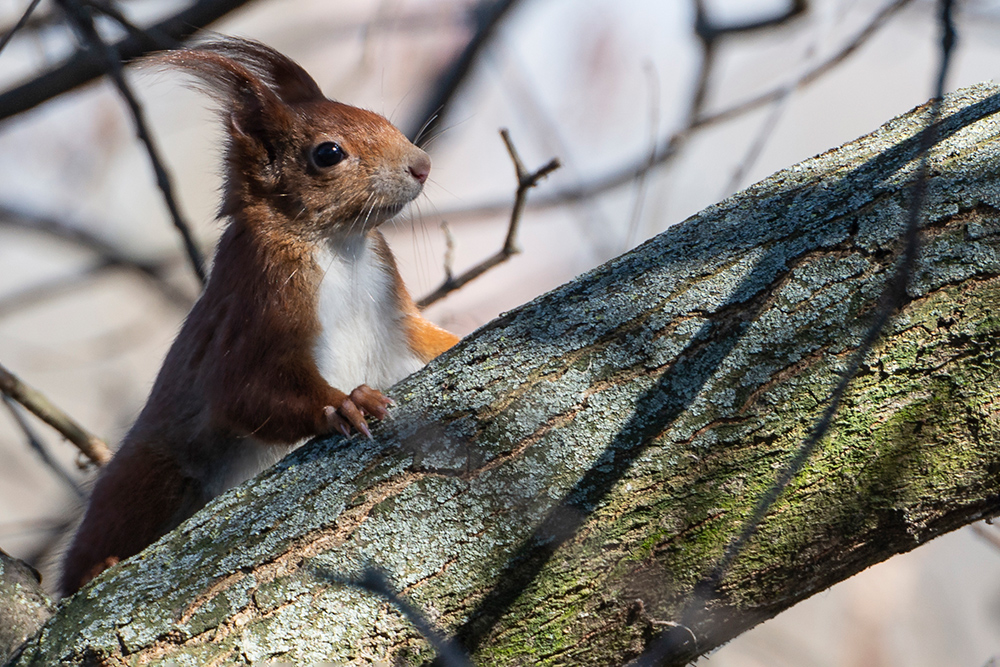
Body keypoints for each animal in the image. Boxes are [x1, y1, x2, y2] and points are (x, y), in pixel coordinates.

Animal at [58, 39, 458, 596]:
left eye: (377, 116)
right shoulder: (260, 306)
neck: (340, 246)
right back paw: (99, 566)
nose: (421, 164)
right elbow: (244, 391)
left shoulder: (393, 318)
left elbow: (427, 341)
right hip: (152, 476)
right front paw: (344, 404)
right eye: (328, 153)